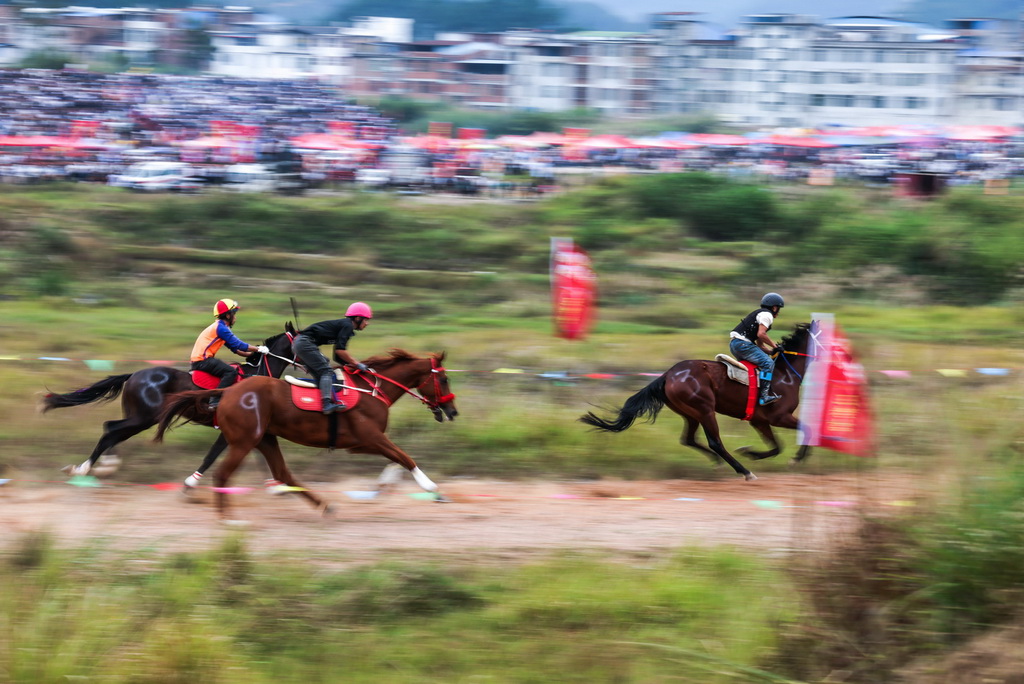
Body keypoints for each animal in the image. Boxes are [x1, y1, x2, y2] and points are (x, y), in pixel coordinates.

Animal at [41, 322, 303, 478]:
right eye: (305, 339)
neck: (257, 374)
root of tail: (134, 375)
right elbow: (215, 456)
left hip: (139, 417)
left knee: (113, 432)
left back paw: (105, 465)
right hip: (145, 417)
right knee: (110, 429)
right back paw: (85, 467)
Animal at [154, 349, 458, 519]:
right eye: (444, 379)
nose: (452, 411)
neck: (372, 390)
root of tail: (227, 391)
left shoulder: (362, 443)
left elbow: (396, 460)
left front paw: (383, 486)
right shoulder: (368, 438)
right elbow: (405, 458)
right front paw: (432, 489)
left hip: (265, 438)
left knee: (282, 473)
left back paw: (324, 506)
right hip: (244, 441)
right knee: (223, 474)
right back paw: (226, 517)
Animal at [580, 323, 813, 481]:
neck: (785, 374)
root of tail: (668, 375)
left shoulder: (760, 421)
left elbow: (777, 447)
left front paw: (751, 452)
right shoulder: (778, 417)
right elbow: (805, 431)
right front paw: (796, 459)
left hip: (690, 413)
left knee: (689, 439)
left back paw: (720, 462)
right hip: (705, 409)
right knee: (715, 442)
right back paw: (744, 471)